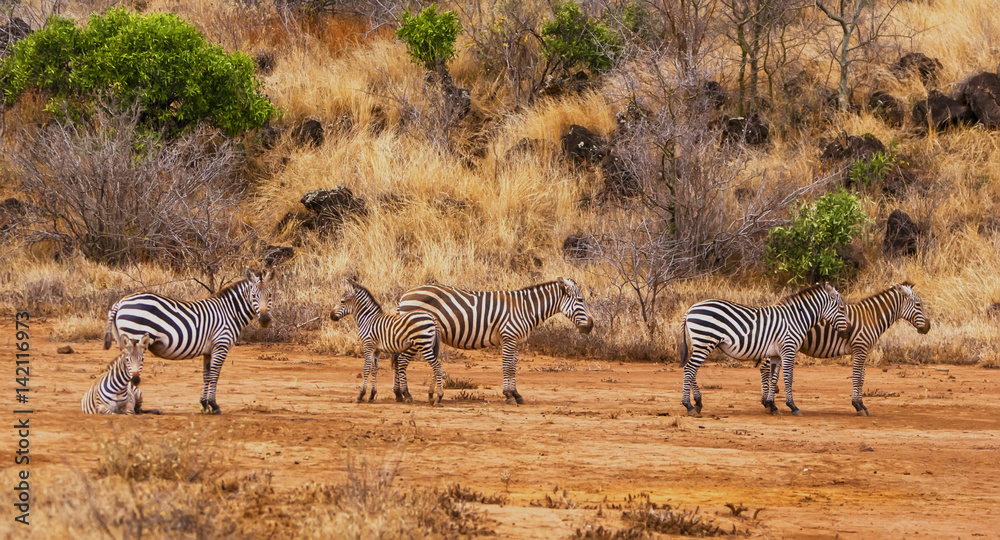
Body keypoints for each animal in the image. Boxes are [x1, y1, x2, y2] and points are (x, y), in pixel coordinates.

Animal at [103, 268, 274, 414]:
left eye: (270, 295)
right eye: (254, 296)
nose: (265, 320)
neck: (229, 312)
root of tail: (120, 302)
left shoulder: (209, 350)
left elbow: (206, 375)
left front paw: (204, 405)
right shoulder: (221, 345)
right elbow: (215, 375)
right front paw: (214, 405)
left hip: (123, 341)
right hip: (135, 339)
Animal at [395, 277, 595, 405]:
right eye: (580, 299)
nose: (591, 326)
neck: (526, 309)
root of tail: (405, 295)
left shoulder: (516, 341)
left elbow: (513, 367)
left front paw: (516, 394)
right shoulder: (509, 337)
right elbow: (507, 367)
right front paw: (509, 396)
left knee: (398, 361)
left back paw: (398, 394)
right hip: (417, 333)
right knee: (402, 361)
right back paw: (405, 394)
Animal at [679, 282, 850, 416]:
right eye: (842, 308)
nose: (848, 332)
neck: (796, 319)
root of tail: (691, 309)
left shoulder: (776, 354)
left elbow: (774, 377)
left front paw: (772, 405)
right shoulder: (789, 349)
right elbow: (788, 378)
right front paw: (793, 406)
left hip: (700, 343)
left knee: (692, 370)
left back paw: (698, 402)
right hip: (705, 341)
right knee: (689, 369)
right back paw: (689, 405)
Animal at [795, 281, 930, 416]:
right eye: (918, 304)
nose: (928, 327)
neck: (871, 318)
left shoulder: (864, 351)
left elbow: (861, 378)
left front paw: (862, 405)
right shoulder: (859, 348)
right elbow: (856, 377)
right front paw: (857, 406)